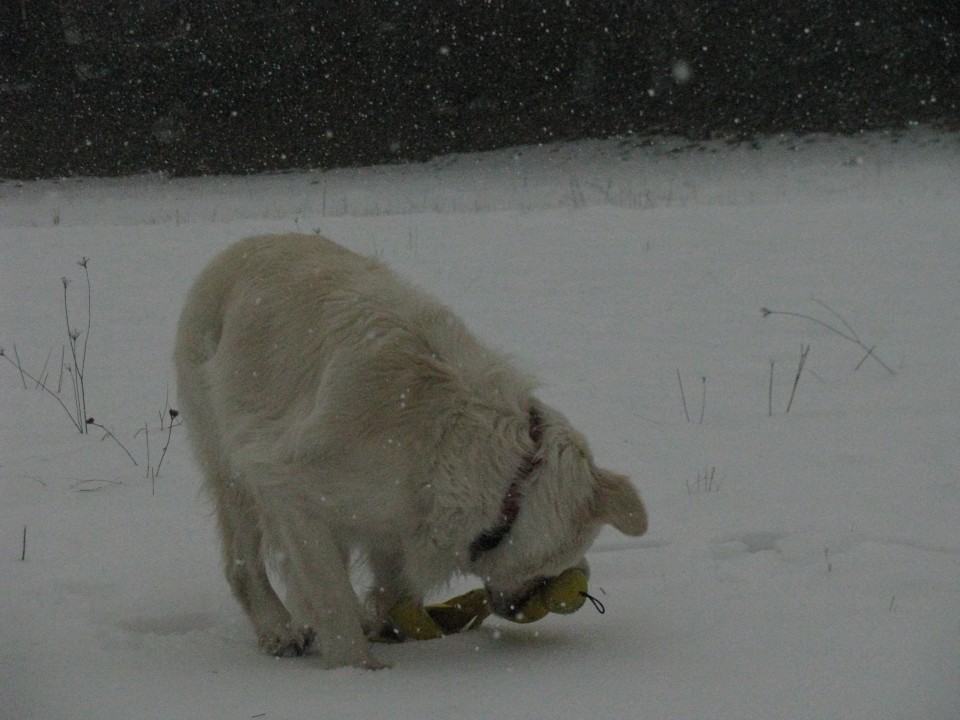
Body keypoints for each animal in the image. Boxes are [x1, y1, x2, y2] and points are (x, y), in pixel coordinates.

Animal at [176, 236, 648, 668]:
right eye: (560, 561)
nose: (582, 584)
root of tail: (242, 246)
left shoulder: (394, 519)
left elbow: (388, 584)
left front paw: (390, 627)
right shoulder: (289, 486)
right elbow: (332, 598)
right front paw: (359, 669)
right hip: (228, 459)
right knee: (243, 563)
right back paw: (279, 629)